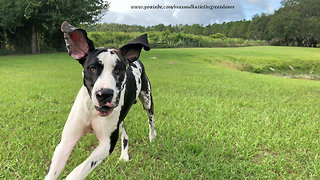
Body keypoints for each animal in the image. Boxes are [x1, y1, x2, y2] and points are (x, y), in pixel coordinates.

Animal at [44, 21, 156, 180]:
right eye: (92, 68)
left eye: (118, 70)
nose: (104, 94)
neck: (92, 110)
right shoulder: (66, 140)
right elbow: (53, 172)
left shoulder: (107, 144)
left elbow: (79, 170)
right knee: (125, 135)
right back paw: (124, 155)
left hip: (147, 100)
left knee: (151, 120)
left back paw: (152, 137)